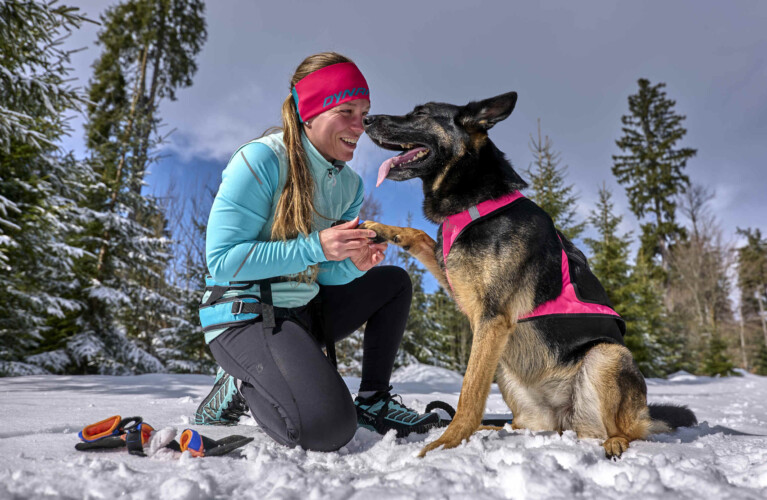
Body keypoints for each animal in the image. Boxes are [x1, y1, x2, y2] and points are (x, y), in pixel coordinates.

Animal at [360, 92, 696, 458]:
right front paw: (382, 229)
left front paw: (444, 444)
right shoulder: (463, 289)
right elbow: (420, 236)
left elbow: (469, 394)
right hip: (508, 371)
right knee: (521, 424)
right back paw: (492, 429)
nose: (365, 119)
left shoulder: (492, 319)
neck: (478, 202)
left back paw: (615, 442)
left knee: (629, 429)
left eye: (420, 113)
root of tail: (564, 417)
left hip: (606, 356)